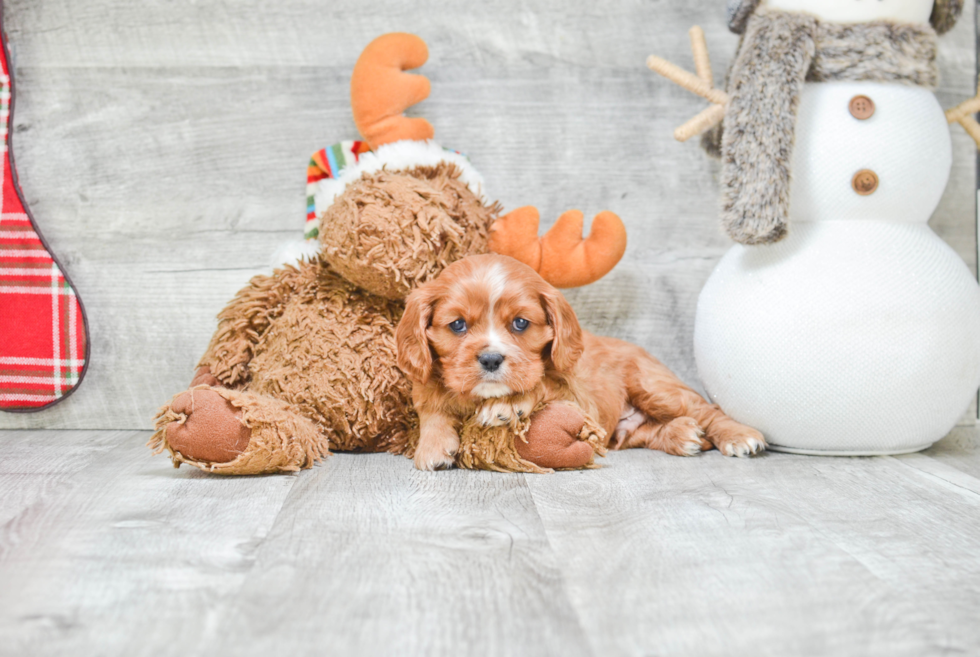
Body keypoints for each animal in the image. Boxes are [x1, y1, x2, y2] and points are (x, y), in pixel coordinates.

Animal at [394, 252, 760, 472]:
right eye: (457, 325)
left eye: (520, 323)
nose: (491, 358)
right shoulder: (425, 385)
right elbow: (431, 408)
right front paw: (433, 446)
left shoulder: (579, 400)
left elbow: (541, 383)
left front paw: (508, 405)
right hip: (624, 433)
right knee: (650, 432)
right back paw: (683, 434)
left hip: (655, 387)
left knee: (706, 409)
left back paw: (738, 435)